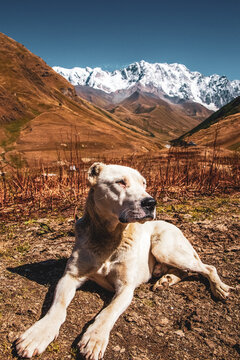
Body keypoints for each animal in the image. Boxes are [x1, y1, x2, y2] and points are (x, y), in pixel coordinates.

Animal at [15, 164, 232, 360]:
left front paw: (94, 339)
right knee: (187, 271)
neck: (110, 237)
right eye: (120, 182)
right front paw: (38, 334)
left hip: (165, 248)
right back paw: (166, 279)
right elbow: (57, 307)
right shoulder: (70, 276)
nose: (151, 202)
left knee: (207, 267)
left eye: (144, 183)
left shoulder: (126, 287)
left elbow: (108, 312)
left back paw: (219, 288)